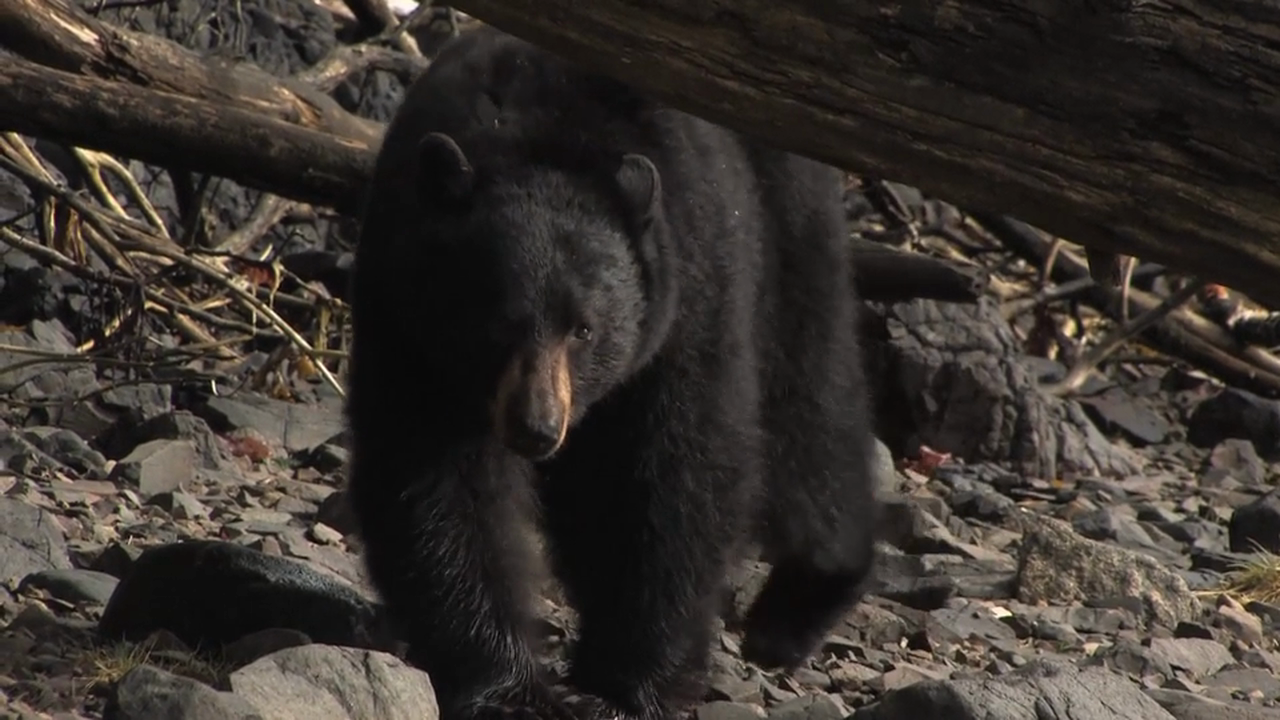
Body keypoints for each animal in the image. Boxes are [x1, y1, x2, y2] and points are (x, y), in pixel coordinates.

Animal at [345, 25, 880, 720]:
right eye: (496, 322)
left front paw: (626, 687)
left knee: (813, 400)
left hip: (788, 225)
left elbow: (673, 475)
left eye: (585, 328)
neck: (542, 139)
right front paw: (510, 684)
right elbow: (430, 477)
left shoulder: (689, 290)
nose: (536, 426)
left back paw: (802, 601)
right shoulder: (406, 314)